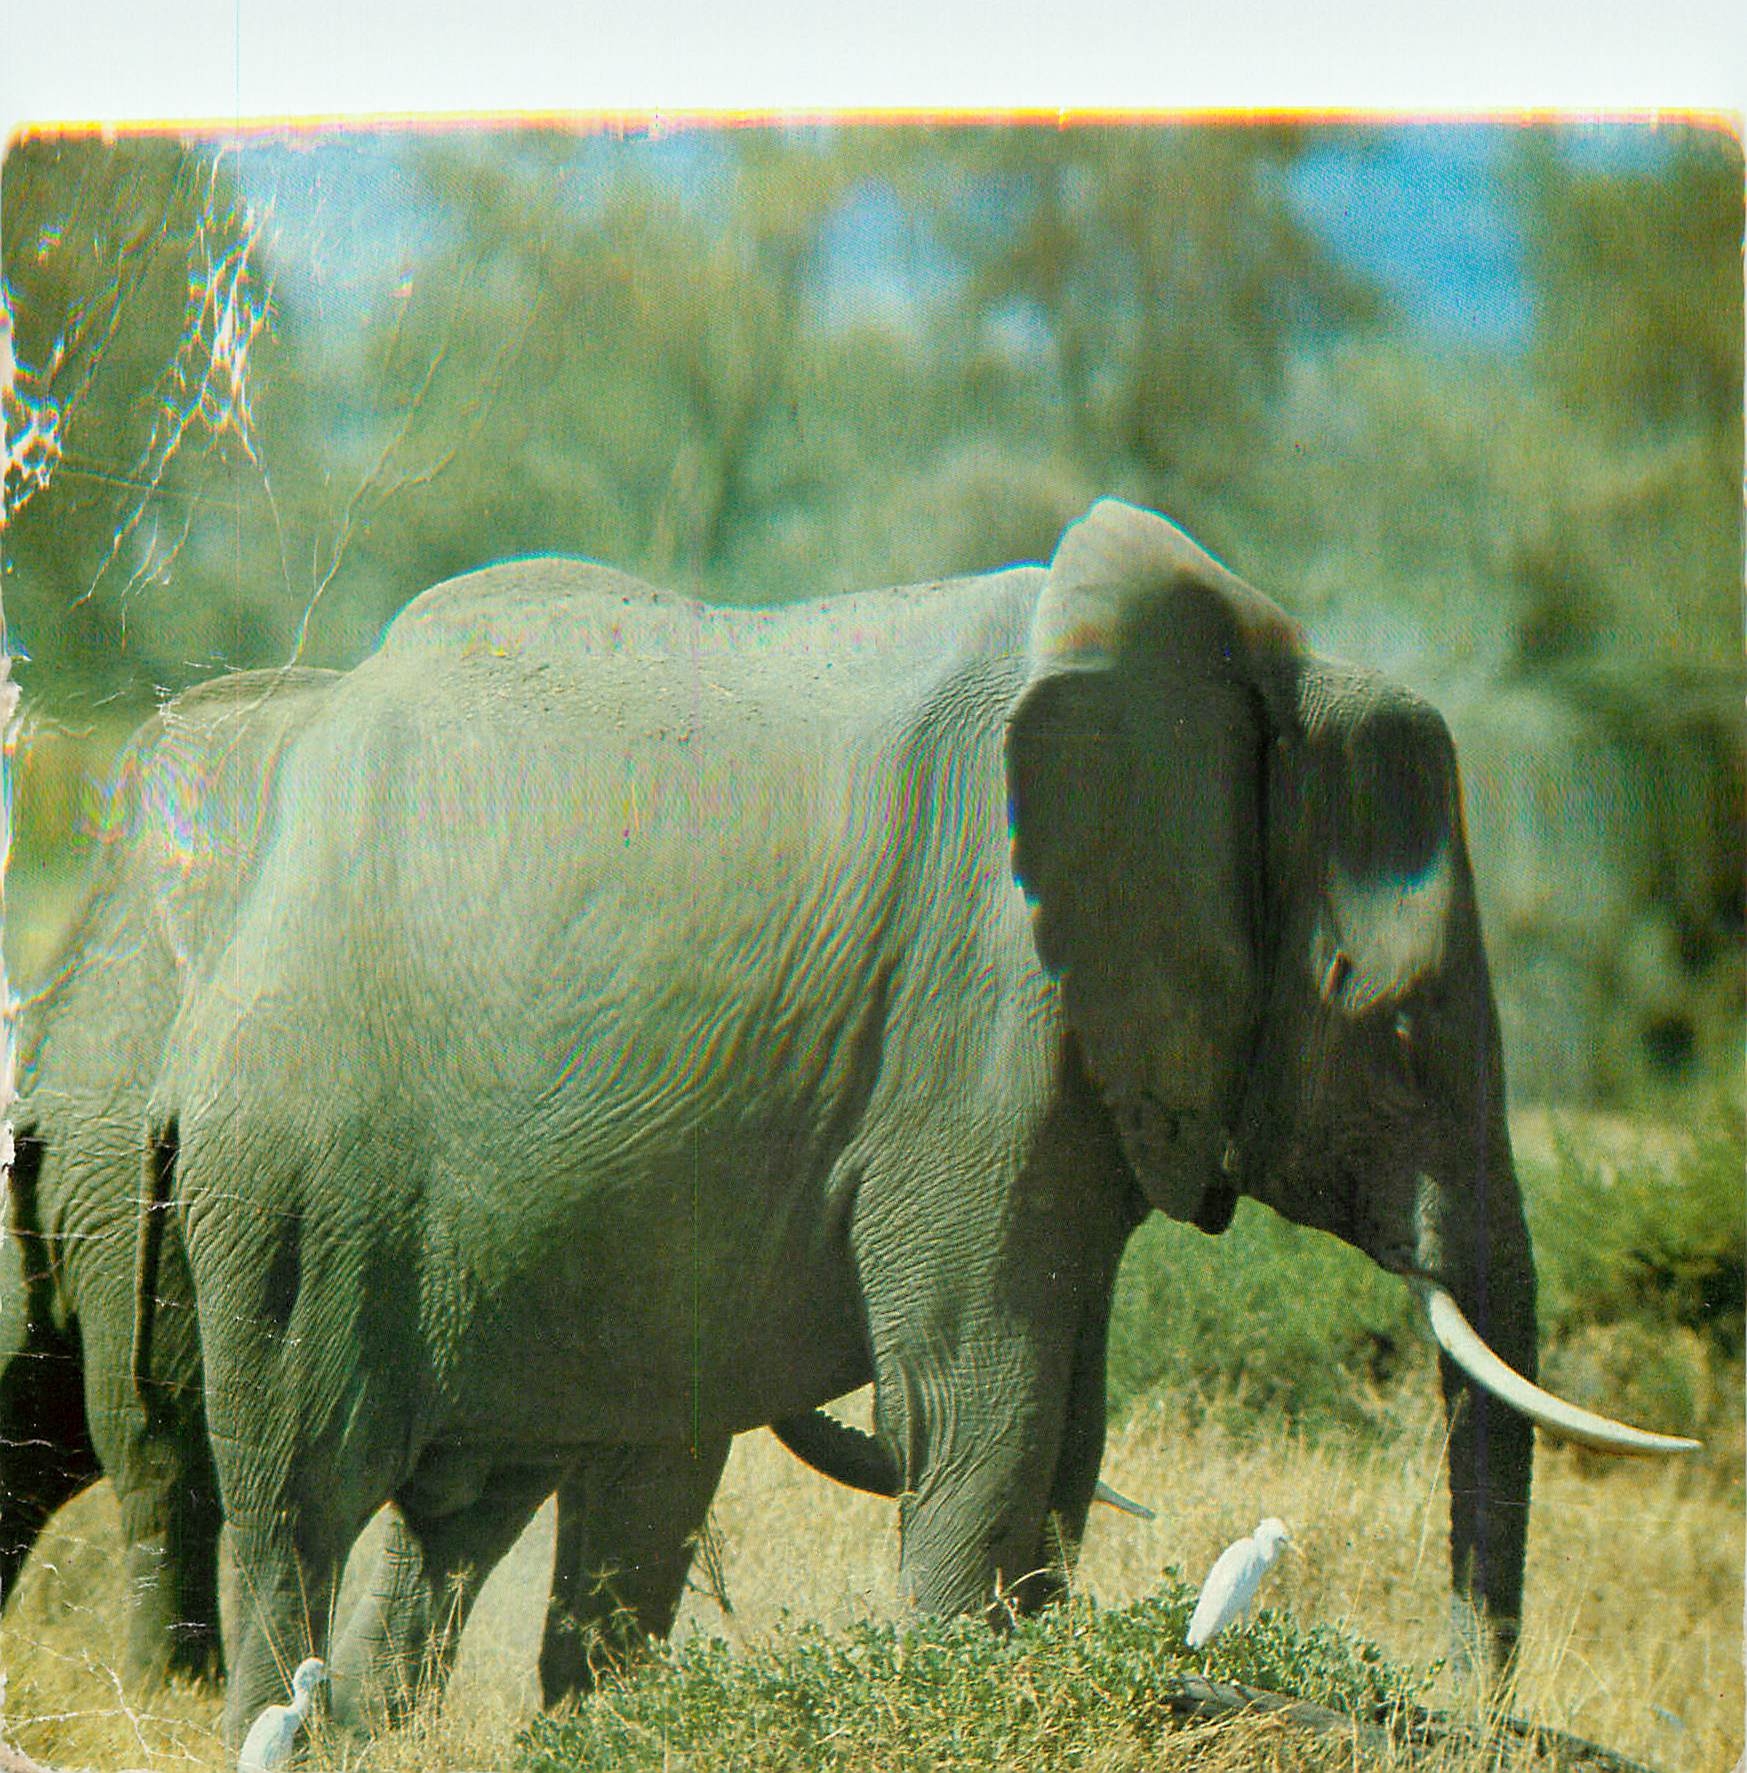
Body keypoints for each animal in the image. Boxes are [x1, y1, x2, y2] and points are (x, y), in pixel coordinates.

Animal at [135, 496, 1694, 1746]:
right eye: (1399, 1023)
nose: (1475, 1710)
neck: (1240, 666)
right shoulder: (984, 1012)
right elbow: (978, 1402)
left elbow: (1067, 1419)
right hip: (287, 1184)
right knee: (297, 1505)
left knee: (517, 1511)